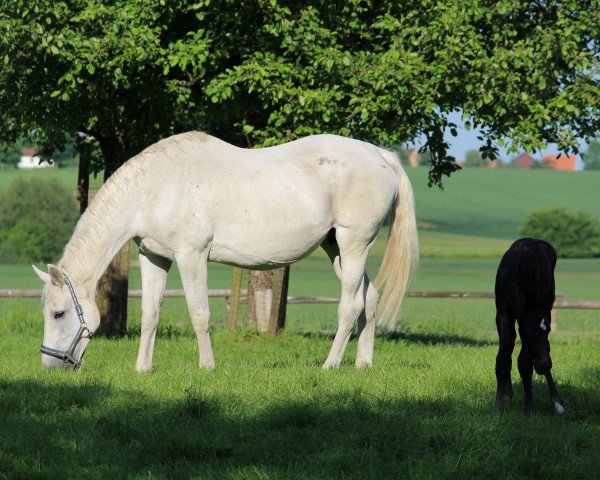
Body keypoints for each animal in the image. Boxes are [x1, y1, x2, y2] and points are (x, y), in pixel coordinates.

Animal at [32, 131, 418, 372]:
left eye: (58, 314)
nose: (50, 365)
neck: (157, 186)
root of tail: (379, 154)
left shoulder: (192, 255)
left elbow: (199, 312)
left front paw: (207, 366)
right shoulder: (154, 257)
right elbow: (150, 314)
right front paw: (142, 368)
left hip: (354, 244)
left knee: (350, 306)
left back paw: (330, 364)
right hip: (335, 247)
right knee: (370, 297)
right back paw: (363, 364)